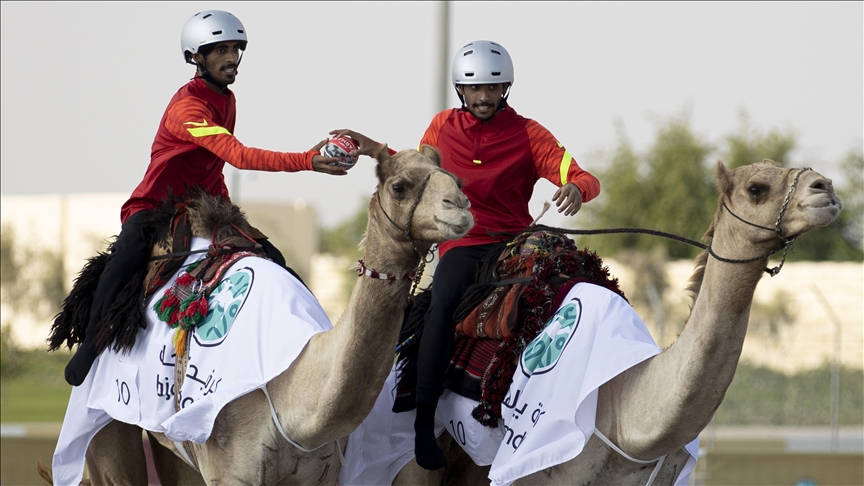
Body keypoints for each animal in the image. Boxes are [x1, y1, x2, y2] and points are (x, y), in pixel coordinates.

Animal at [46, 145, 472, 486]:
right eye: (400, 186)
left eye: (455, 179)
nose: (462, 207)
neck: (291, 392)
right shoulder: (229, 470)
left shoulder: (317, 475)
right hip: (102, 422)